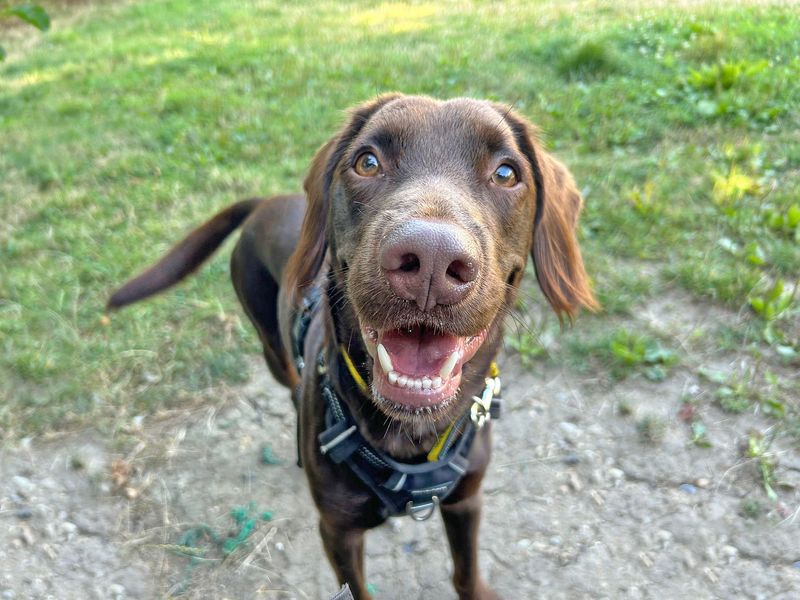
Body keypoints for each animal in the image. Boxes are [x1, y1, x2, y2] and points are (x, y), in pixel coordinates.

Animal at [109, 96, 596, 596]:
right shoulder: (338, 530)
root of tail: (268, 202)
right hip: (271, 345)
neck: (410, 441)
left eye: (505, 173)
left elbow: (465, 570)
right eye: (367, 162)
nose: (431, 261)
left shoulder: (466, 501)